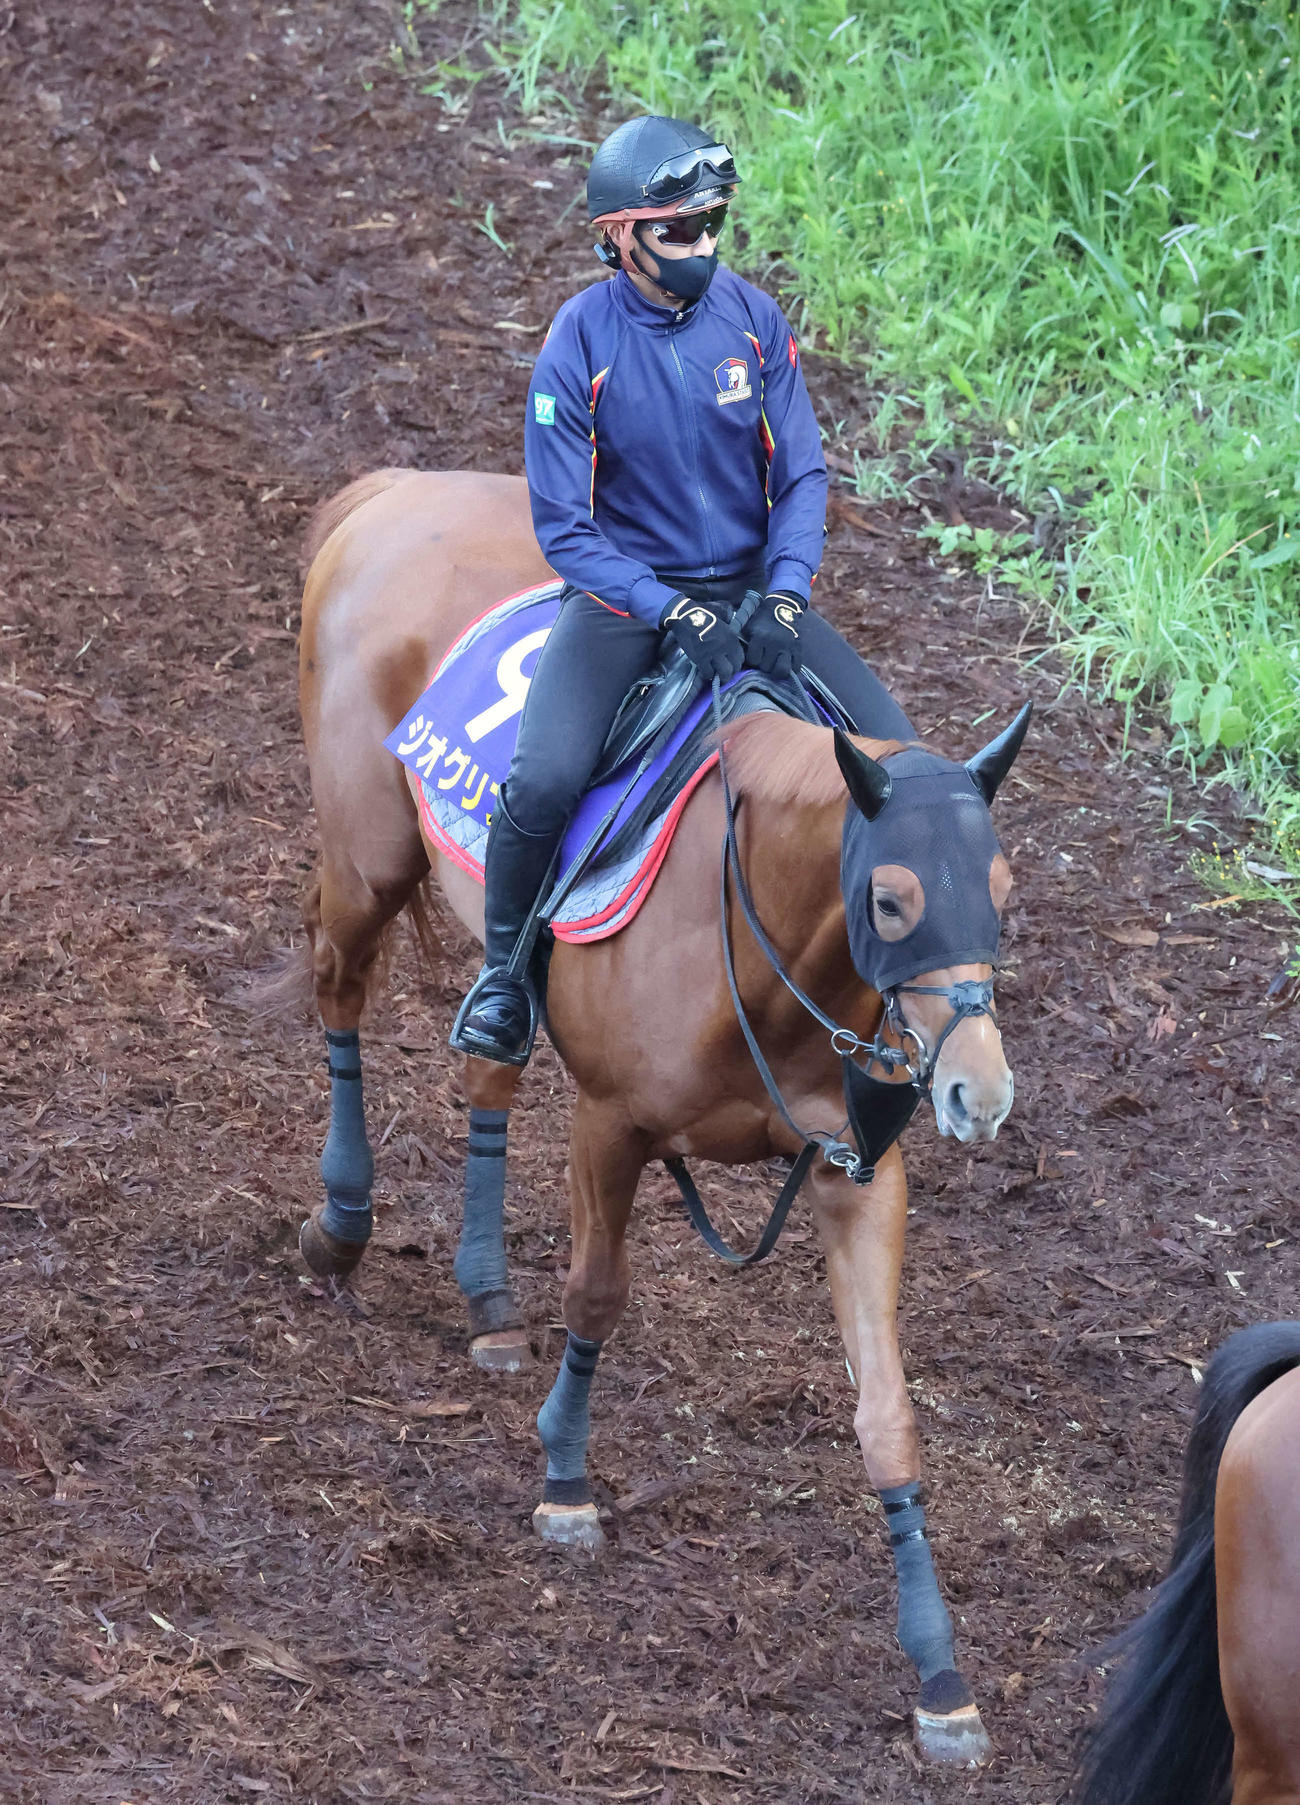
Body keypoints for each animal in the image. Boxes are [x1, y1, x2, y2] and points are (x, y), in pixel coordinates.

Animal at [292, 467, 1029, 1767]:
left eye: (998, 891)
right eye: (890, 898)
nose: (975, 1093)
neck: (762, 939)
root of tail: (397, 487)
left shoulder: (857, 1171)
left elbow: (886, 1408)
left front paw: (940, 1676)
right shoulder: (612, 1124)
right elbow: (597, 1292)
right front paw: (565, 1483)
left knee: (485, 1062)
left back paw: (487, 1298)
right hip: (370, 849)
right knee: (338, 985)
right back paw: (341, 1224)